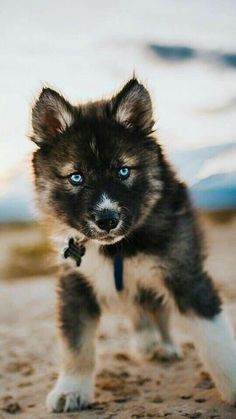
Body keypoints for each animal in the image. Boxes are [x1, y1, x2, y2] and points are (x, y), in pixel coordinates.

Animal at [30, 79, 236, 414]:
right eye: (76, 177)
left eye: (123, 171)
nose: (107, 219)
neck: (117, 250)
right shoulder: (75, 283)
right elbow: (75, 343)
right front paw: (71, 389)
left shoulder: (184, 272)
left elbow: (214, 338)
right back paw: (146, 342)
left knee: (155, 310)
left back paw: (162, 345)